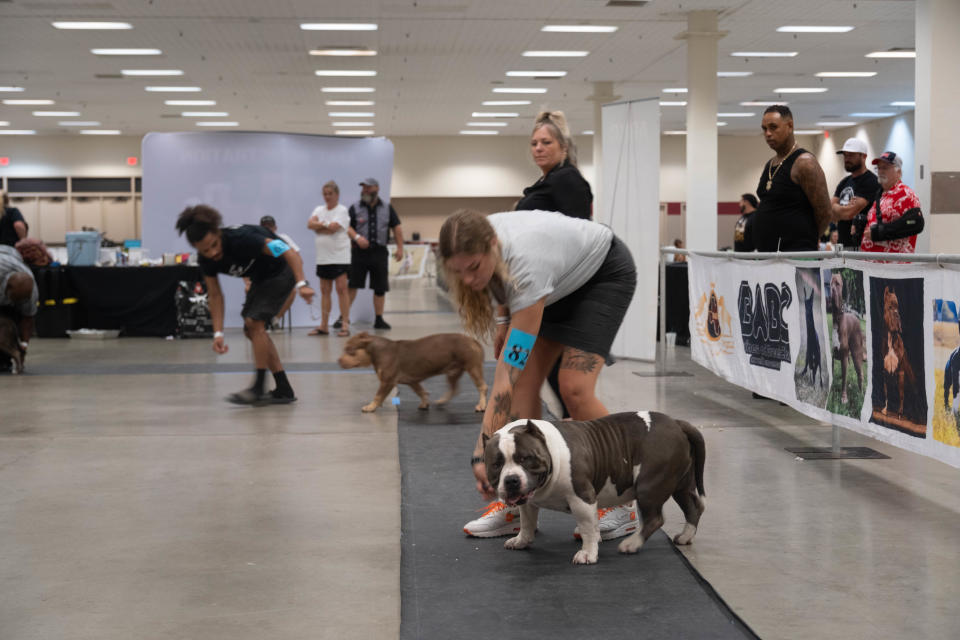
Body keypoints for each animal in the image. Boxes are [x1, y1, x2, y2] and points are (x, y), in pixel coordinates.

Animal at [338, 332, 488, 412]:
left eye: (349, 350)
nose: (338, 360)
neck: (376, 351)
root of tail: (473, 341)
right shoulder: (413, 381)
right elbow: (421, 392)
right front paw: (424, 404)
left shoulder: (387, 381)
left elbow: (378, 395)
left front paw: (370, 407)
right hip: (453, 372)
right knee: (454, 388)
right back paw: (442, 400)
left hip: (473, 367)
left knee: (482, 386)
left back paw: (482, 405)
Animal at [484, 410, 700, 564]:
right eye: (496, 464)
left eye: (526, 458)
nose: (511, 480)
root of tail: (677, 423)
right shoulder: (529, 501)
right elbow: (527, 523)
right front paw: (521, 541)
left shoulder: (582, 498)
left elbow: (587, 527)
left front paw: (587, 553)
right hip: (681, 484)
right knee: (693, 507)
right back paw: (685, 536)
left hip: (649, 486)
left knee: (654, 519)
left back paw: (631, 544)